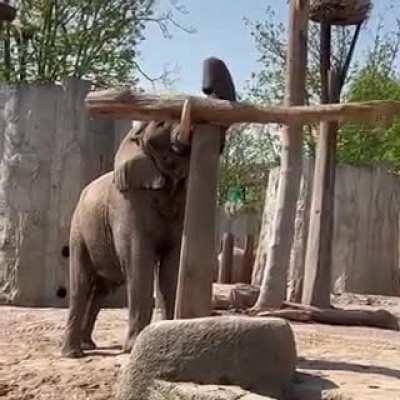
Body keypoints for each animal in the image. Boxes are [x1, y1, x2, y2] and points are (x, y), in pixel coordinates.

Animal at [61, 120, 192, 358]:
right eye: (160, 124)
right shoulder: (128, 200)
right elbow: (138, 260)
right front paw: (133, 347)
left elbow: (172, 266)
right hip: (78, 232)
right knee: (81, 284)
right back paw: (73, 354)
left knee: (102, 290)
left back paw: (87, 345)